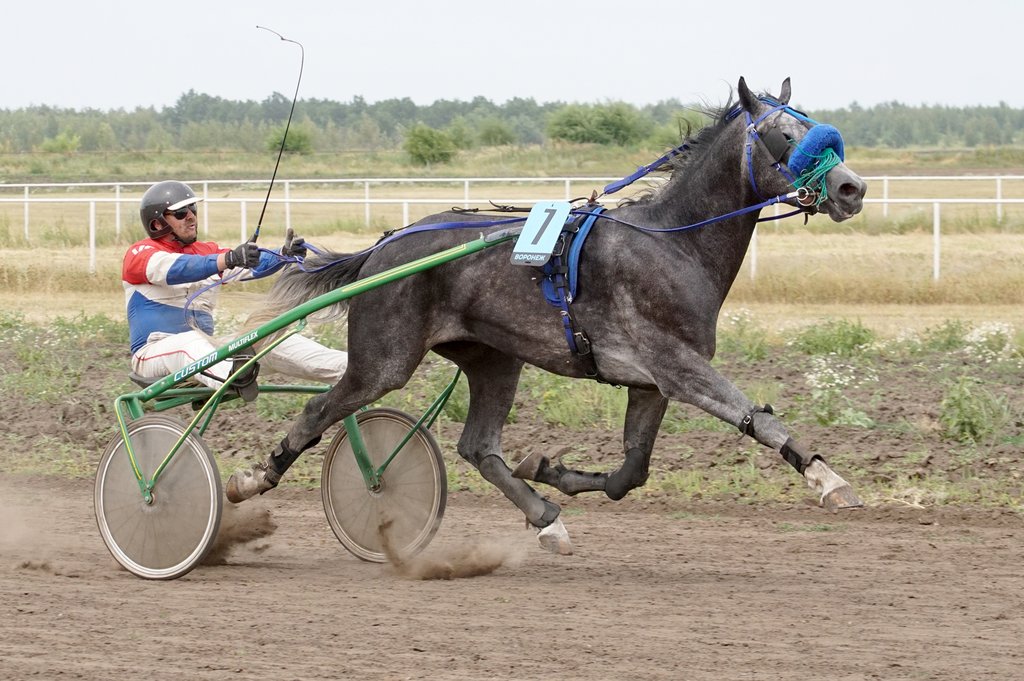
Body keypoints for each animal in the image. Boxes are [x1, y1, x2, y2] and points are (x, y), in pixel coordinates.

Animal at [226, 76, 864, 552]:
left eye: (816, 125)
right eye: (785, 133)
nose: (851, 187)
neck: (673, 244)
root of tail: (381, 248)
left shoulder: (649, 382)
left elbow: (632, 472)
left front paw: (547, 470)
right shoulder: (675, 365)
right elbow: (760, 420)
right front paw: (829, 479)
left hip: (493, 359)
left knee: (478, 447)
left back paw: (544, 517)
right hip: (385, 358)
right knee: (320, 409)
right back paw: (253, 478)